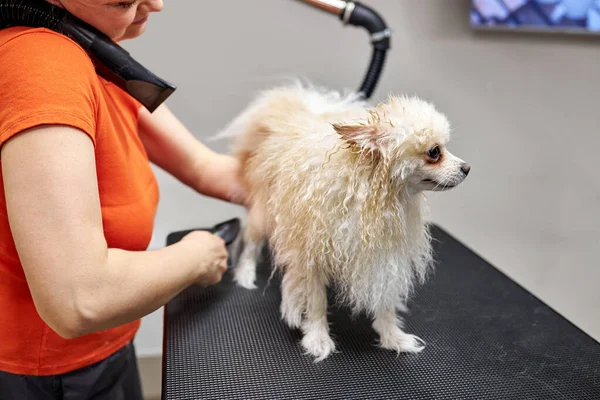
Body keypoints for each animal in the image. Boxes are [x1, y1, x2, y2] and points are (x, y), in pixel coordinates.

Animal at [218, 82, 472, 362]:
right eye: (435, 152)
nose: (467, 168)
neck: (373, 195)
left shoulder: (384, 256)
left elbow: (385, 302)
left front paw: (393, 336)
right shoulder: (310, 255)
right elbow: (316, 302)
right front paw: (318, 338)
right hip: (262, 213)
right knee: (251, 246)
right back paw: (245, 274)